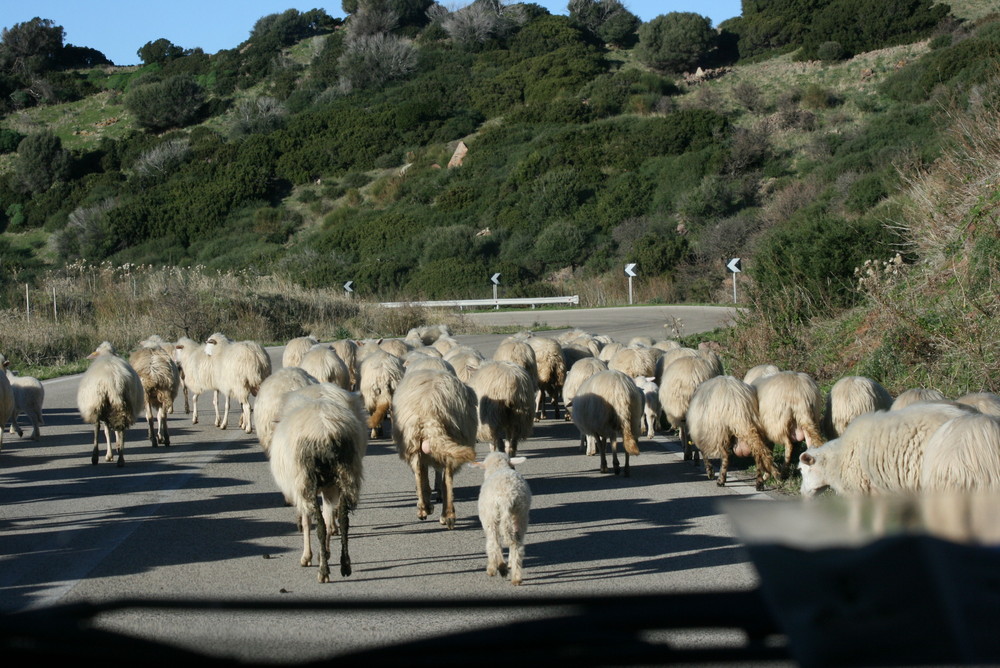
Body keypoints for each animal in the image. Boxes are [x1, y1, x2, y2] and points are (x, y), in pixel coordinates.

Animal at [268, 384, 370, 580]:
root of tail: (325, 432)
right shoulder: (329, 488)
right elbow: (330, 518)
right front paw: (326, 554)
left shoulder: (301, 487)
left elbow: (309, 521)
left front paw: (307, 557)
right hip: (346, 476)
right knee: (343, 520)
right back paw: (345, 565)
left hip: (307, 480)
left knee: (320, 526)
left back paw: (323, 572)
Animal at [388, 368, 478, 528]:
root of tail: (430, 407)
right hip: (451, 435)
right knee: (446, 478)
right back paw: (447, 516)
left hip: (414, 441)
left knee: (421, 473)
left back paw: (425, 509)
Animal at [470, 452, 532, 588]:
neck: (498, 467)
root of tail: (507, 497)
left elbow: (493, 543)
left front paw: (495, 567)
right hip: (520, 514)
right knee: (517, 543)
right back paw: (516, 577)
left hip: (492, 516)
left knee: (494, 542)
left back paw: (498, 567)